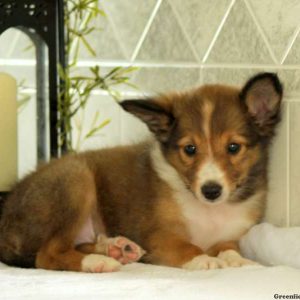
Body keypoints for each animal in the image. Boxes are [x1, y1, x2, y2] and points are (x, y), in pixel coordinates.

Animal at [0, 72, 282, 272]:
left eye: (234, 147)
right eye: (190, 149)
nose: (211, 191)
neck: (209, 210)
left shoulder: (231, 235)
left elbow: (229, 248)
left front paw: (238, 260)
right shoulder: (157, 236)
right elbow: (186, 245)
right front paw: (203, 260)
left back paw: (116, 247)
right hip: (75, 179)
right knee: (47, 254)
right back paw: (98, 262)